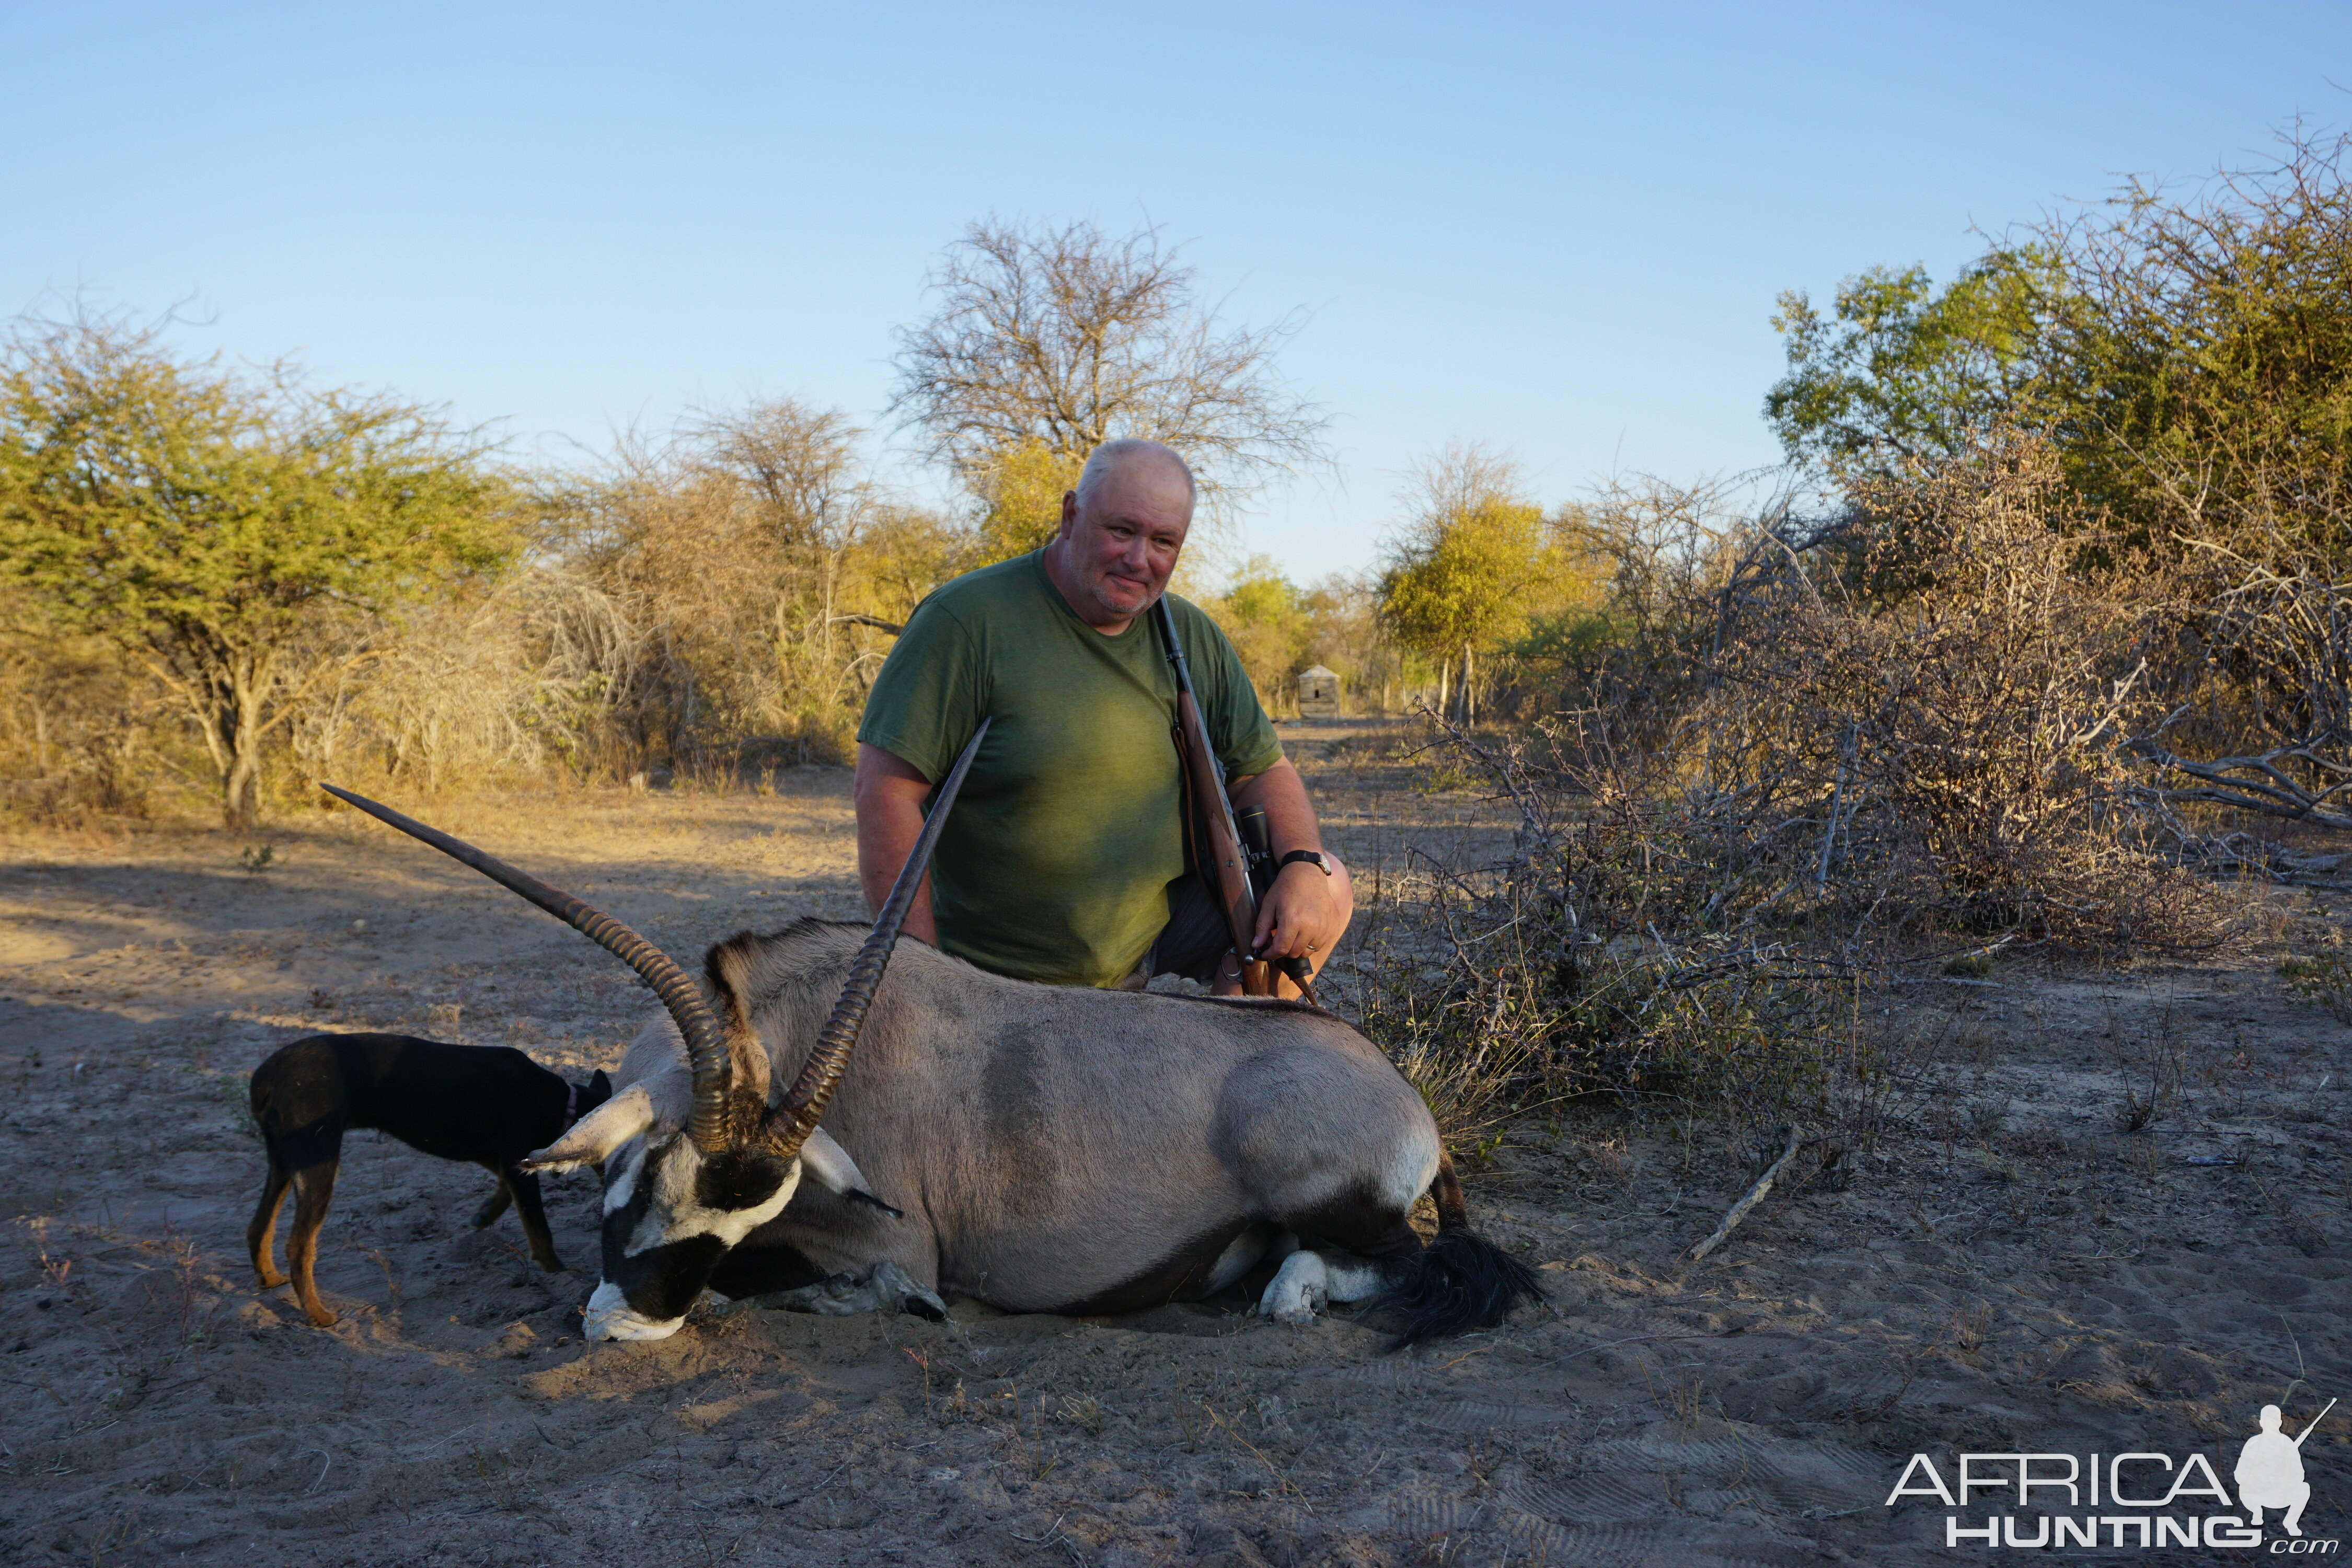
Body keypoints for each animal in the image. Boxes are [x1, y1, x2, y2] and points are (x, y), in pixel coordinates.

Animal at [247, 1034, 612, 1335]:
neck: (559, 1105)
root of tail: (265, 1078)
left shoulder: (494, 1154)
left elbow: (505, 1188)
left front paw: (485, 1213)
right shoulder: (511, 1155)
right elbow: (541, 1232)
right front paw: (560, 1274)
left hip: (284, 1160)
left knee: (259, 1226)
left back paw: (270, 1277)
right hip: (317, 1158)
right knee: (299, 1244)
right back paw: (318, 1314)